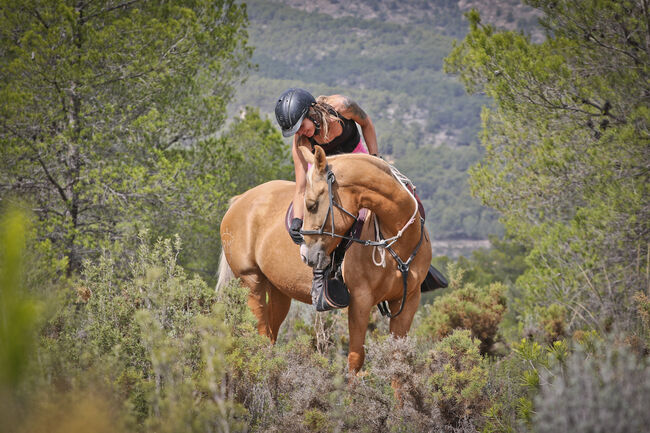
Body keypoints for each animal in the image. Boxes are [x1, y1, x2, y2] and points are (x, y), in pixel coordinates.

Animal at [218, 145, 430, 372]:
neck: (396, 240)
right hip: (252, 282)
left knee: (271, 336)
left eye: (311, 205)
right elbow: (356, 358)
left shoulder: (407, 301)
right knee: (262, 337)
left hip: (279, 290)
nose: (305, 254)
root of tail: (240, 200)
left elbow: (398, 359)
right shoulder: (361, 300)